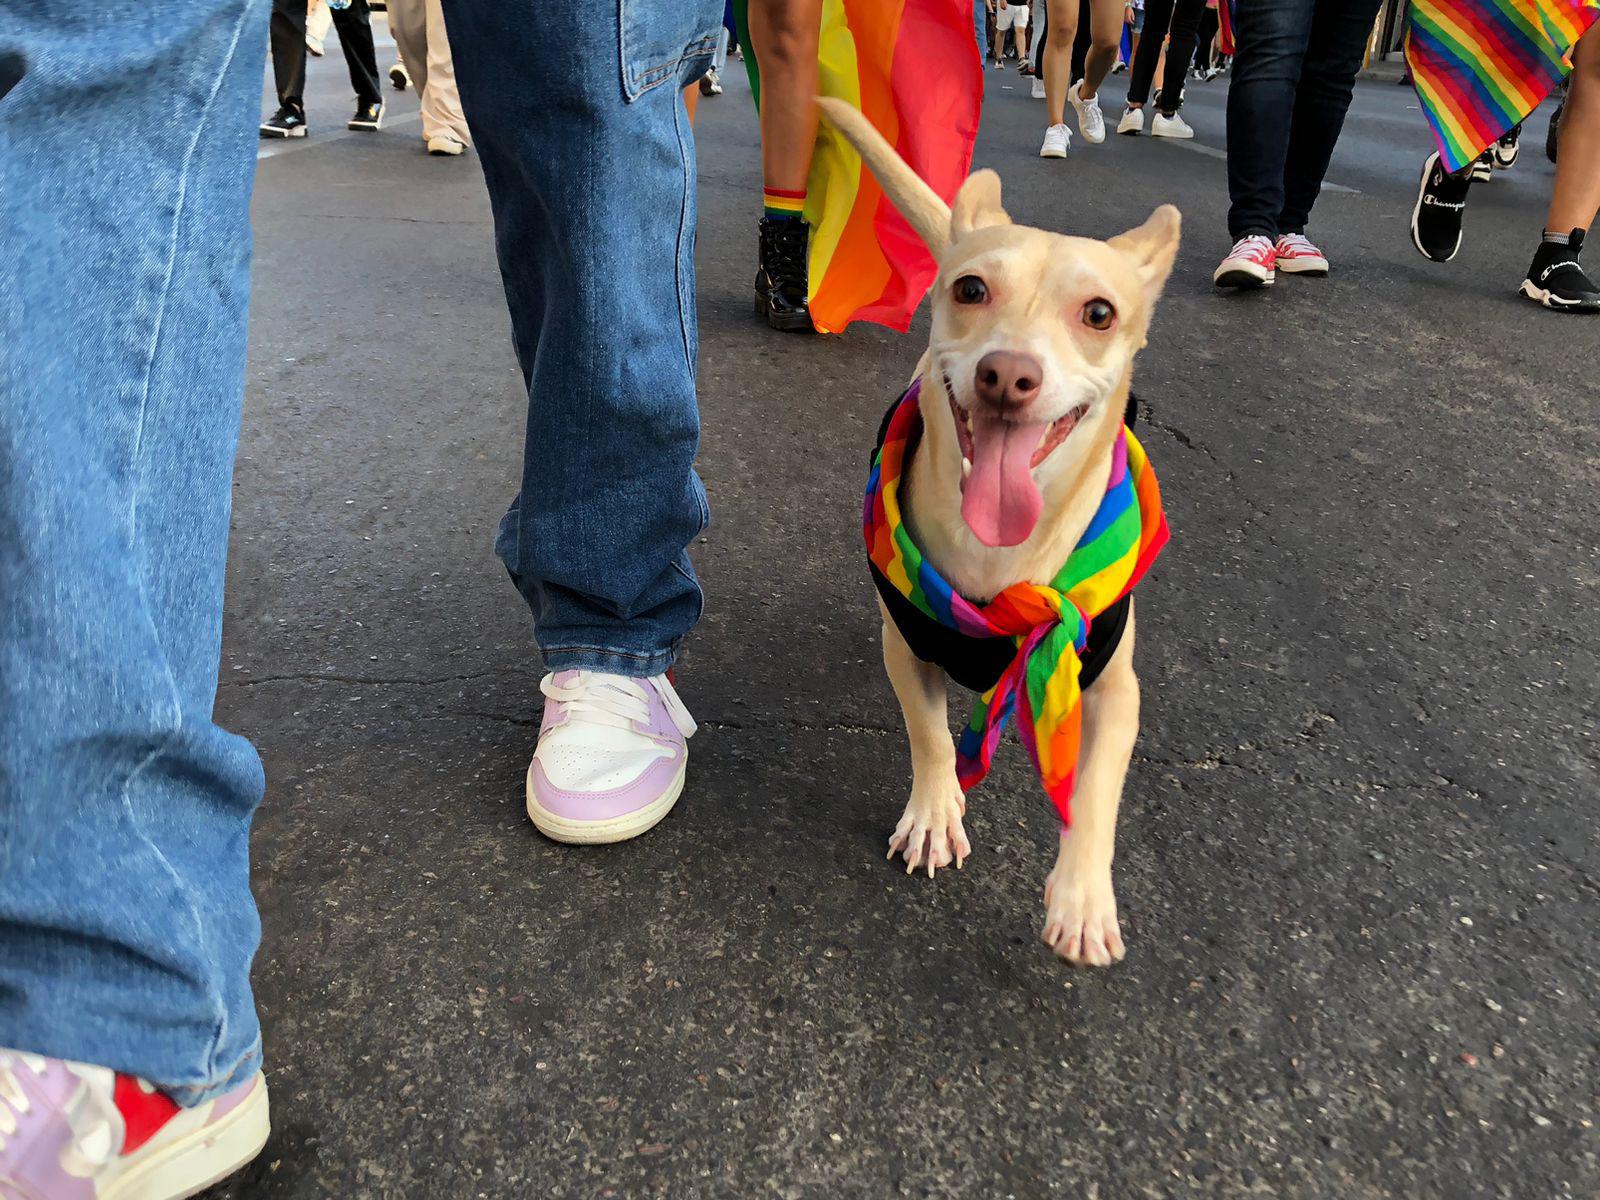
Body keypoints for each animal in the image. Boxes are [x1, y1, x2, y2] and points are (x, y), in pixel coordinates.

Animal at [825, 98, 1177, 972]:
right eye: (971, 288)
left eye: (1099, 313)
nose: (1007, 375)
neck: (1002, 559)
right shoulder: (909, 645)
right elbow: (928, 734)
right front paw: (934, 811)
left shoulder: (1112, 685)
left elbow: (1096, 790)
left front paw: (1082, 897)